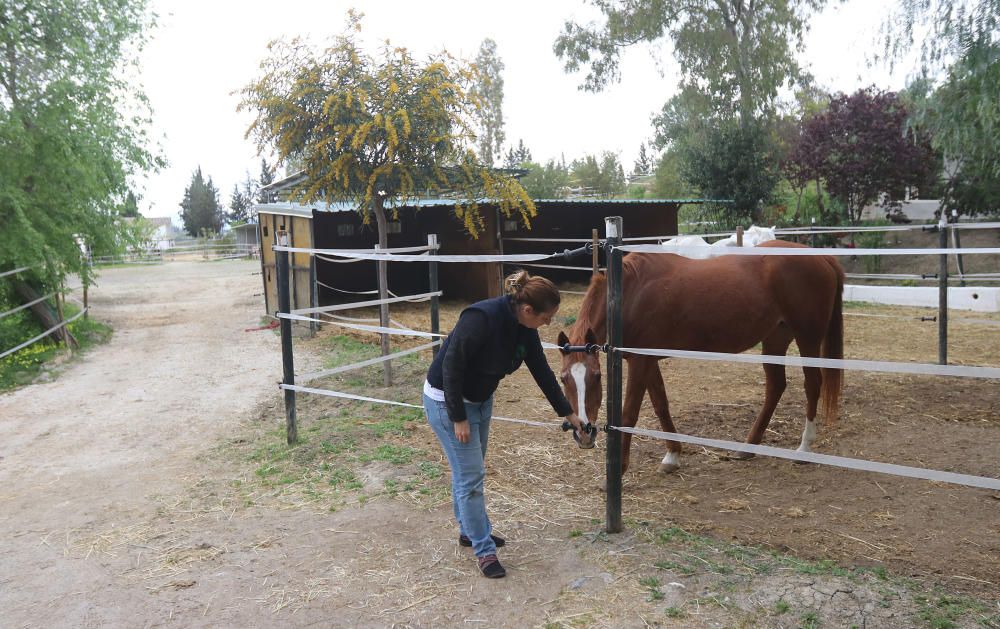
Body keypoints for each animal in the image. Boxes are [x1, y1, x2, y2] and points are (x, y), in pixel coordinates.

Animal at [556, 243, 844, 474]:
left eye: (597, 376)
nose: (584, 433)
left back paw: (804, 449)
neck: (628, 293)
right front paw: (672, 456)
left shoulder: (640, 361)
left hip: (807, 338)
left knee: (812, 385)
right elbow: (661, 404)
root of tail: (822, 257)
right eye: (563, 379)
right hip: (775, 339)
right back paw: (748, 447)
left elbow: (629, 414)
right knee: (776, 386)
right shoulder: (648, 361)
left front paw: (621, 469)